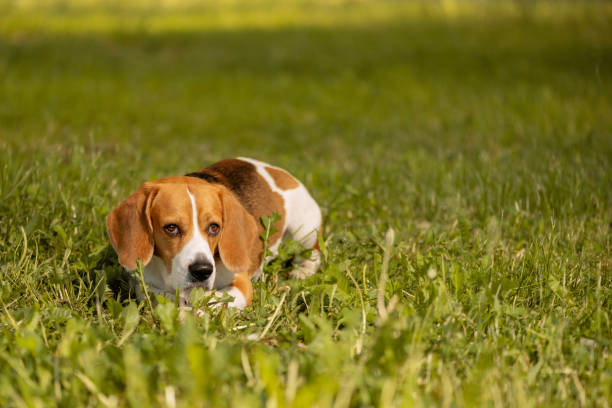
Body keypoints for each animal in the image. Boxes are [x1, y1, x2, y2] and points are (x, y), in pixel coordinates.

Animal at [107, 158, 322, 308]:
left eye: (214, 227)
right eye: (171, 228)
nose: (202, 271)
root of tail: (273, 170)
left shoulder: (242, 285)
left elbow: (214, 298)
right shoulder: (144, 286)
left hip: (304, 228)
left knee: (314, 250)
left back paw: (303, 271)